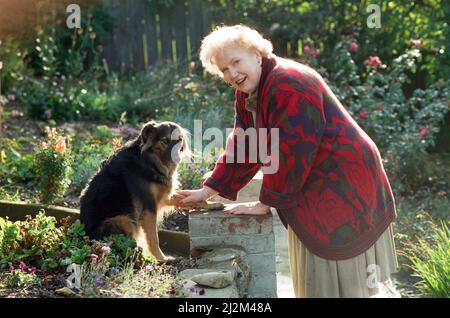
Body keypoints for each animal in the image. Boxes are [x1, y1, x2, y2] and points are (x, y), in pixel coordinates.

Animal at [80, 120, 222, 262]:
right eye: (165, 140)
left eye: (179, 140)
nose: (177, 158)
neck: (150, 161)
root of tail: (87, 239)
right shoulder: (148, 207)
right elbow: (154, 238)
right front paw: (162, 259)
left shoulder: (163, 197)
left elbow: (191, 198)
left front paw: (212, 204)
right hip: (124, 219)